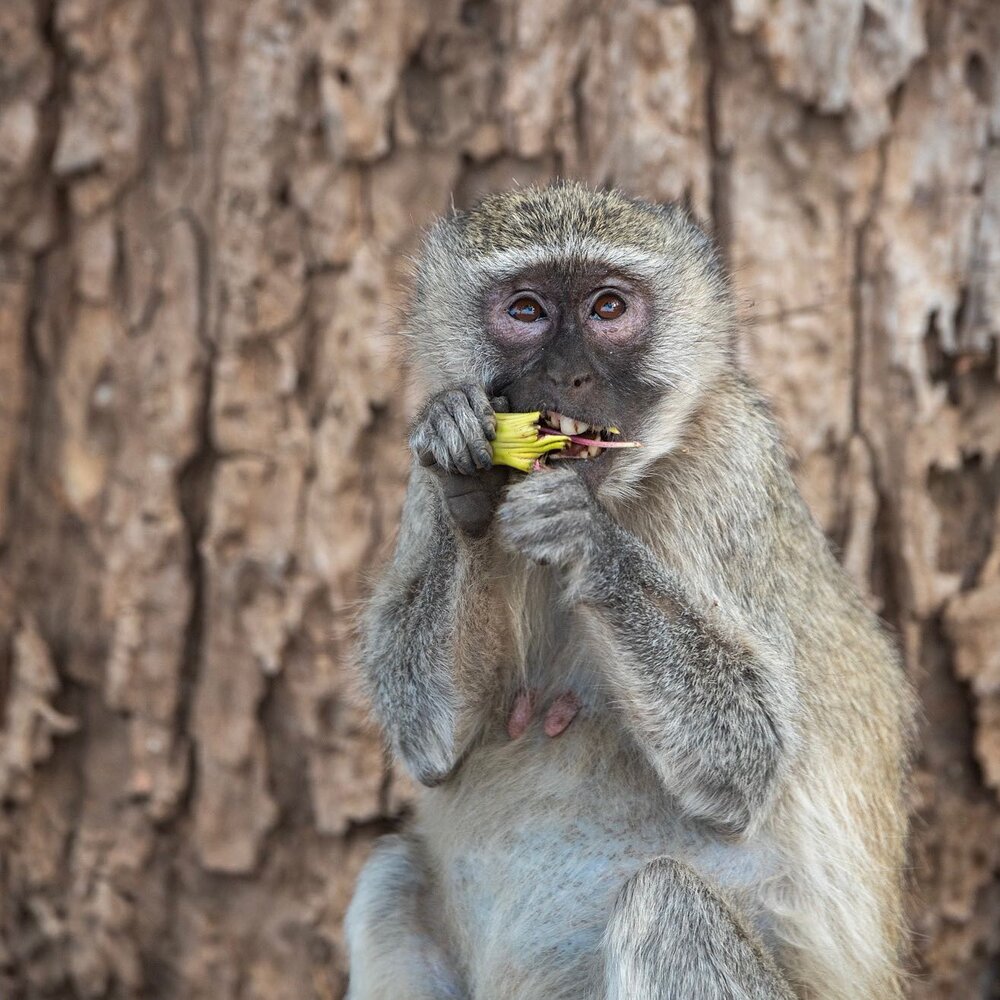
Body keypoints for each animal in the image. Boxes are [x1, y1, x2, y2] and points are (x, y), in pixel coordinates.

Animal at [344, 182, 916, 1000]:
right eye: (526, 310)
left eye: (609, 308)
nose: (569, 378)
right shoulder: (418, 470)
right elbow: (429, 737)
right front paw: (471, 477)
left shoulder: (731, 468)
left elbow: (747, 761)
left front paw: (588, 539)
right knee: (391, 875)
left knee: (668, 902)